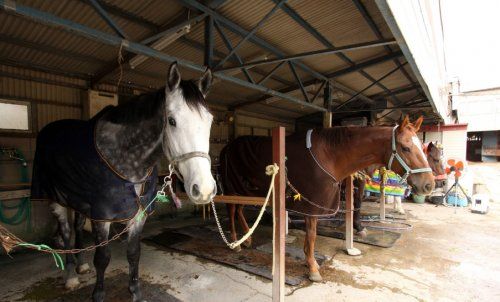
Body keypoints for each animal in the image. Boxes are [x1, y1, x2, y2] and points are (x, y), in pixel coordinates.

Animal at [219, 115, 434, 280]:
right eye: (405, 148)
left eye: (421, 148)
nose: (429, 185)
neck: (329, 155)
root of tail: (227, 147)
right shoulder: (312, 205)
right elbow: (312, 235)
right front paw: (313, 267)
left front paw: (310, 262)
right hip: (233, 187)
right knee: (231, 209)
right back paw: (235, 242)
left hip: (246, 190)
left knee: (238, 210)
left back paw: (247, 239)